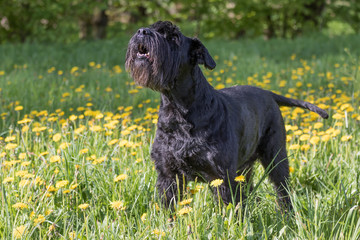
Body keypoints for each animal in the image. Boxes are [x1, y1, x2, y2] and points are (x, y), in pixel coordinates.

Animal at [125, 21, 328, 210]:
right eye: (152, 27)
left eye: (174, 37)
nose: (142, 31)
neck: (179, 110)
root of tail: (269, 94)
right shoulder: (168, 175)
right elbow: (170, 209)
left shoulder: (221, 176)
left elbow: (229, 209)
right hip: (244, 167)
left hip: (275, 156)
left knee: (282, 189)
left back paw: (287, 216)